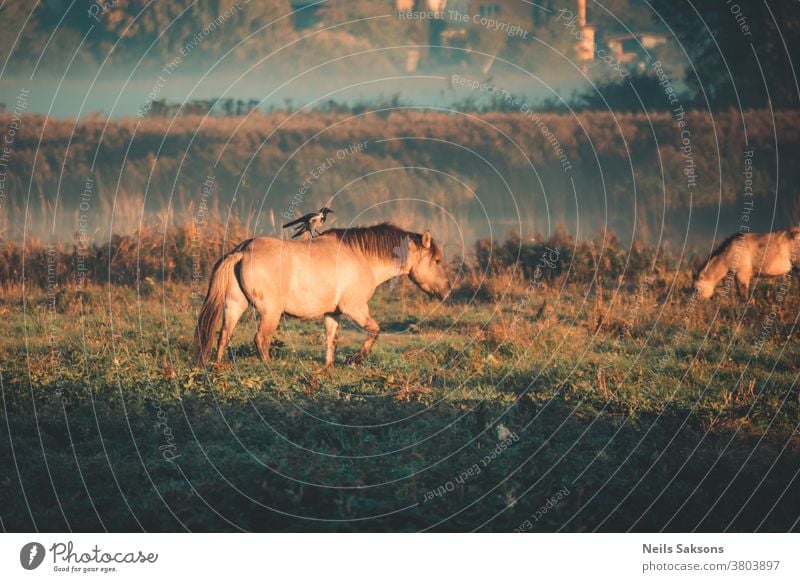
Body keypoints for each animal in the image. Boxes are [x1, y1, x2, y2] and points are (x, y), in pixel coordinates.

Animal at [195, 221, 450, 368]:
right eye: (437, 260)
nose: (447, 290)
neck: (363, 257)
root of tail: (242, 251)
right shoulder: (354, 308)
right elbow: (374, 331)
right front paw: (355, 359)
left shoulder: (332, 313)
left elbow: (331, 340)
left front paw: (328, 369)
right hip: (270, 313)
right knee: (260, 340)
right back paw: (269, 367)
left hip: (235, 305)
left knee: (224, 335)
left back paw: (218, 367)